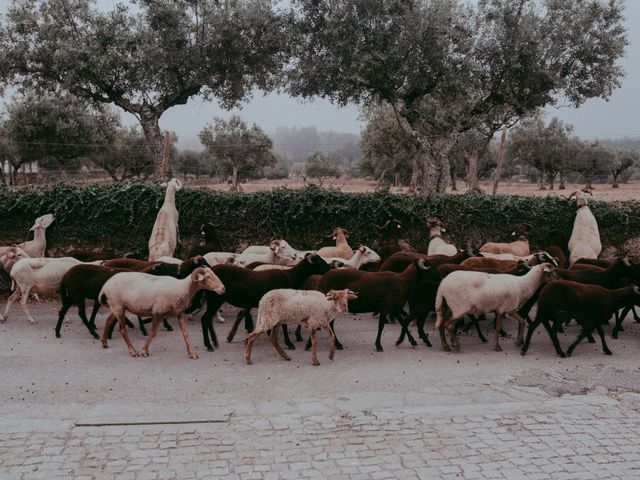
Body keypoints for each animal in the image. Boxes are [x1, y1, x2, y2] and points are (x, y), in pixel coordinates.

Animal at [100, 266, 228, 360]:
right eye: (208, 276)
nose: (223, 289)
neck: (182, 289)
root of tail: (106, 285)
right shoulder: (158, 312)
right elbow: (153, 333)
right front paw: (144, 351)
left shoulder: (180, 314)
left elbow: (185, 334)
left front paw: (192, 353)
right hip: (118, 306)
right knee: (122, 330)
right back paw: (133, 351)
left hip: (117, 307)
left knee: (108, 320)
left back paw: (104, 342)